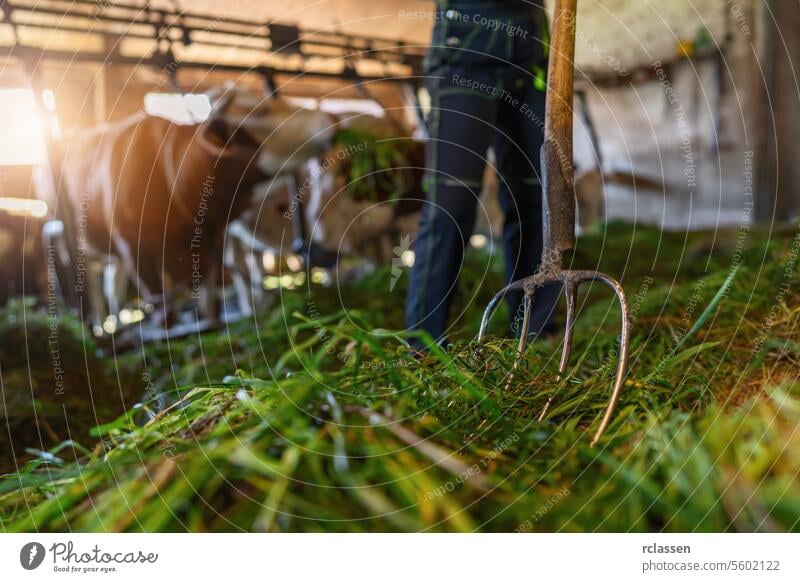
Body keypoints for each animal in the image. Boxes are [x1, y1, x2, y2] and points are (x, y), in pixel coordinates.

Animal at [50, 84, 338, 330]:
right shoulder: (132, 246)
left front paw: (211, 322)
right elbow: (161, 301)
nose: (329, 118)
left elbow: (211, 295)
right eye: (261, 111)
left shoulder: (211, 241)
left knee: (112, 287)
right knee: (94, 291)